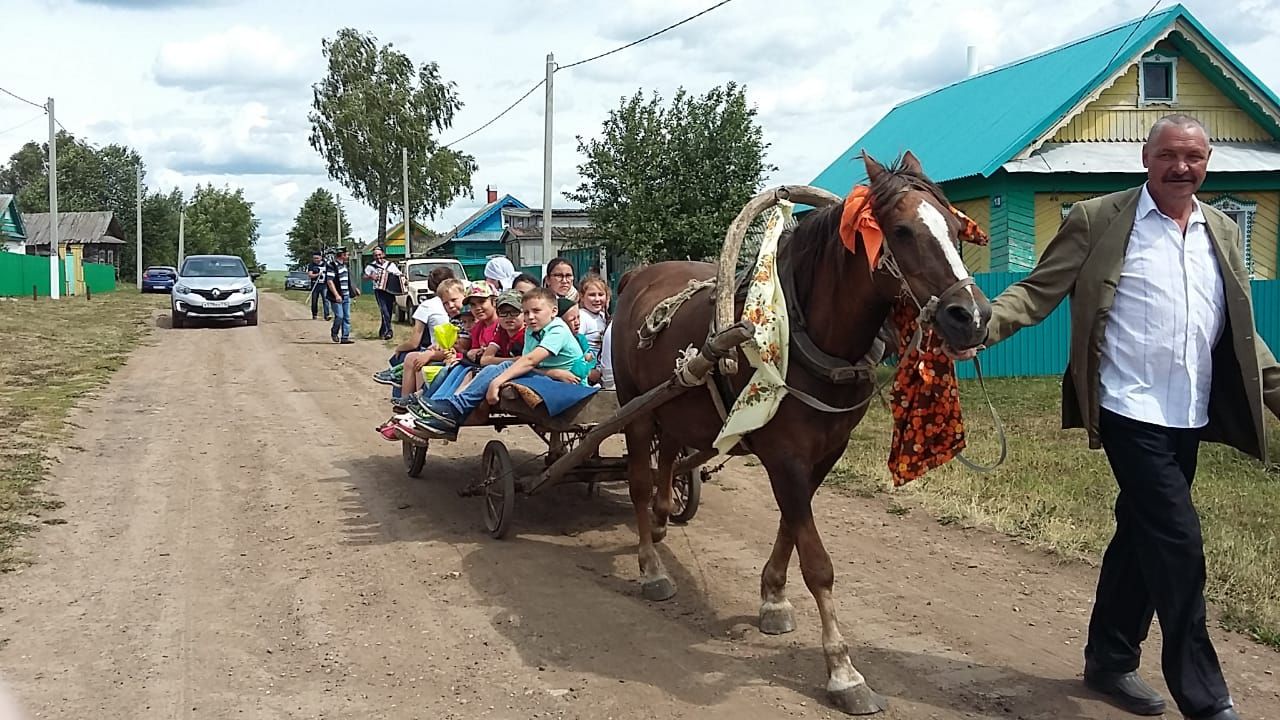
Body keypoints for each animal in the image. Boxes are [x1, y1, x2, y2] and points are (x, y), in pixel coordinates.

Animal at [609, 149, 988, 712]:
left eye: (958, 229)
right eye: (900, 231)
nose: (974, 317)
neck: (812, 333)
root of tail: (637, 275)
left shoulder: (825, 452)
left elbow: (792, 524)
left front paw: (772, 598)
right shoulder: (785, 456)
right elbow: (818, 562)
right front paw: (844, 671)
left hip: (676, 408)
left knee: (667, 463)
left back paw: (659, 522)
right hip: (635, 409)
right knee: (637, 481)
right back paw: (651, 567)